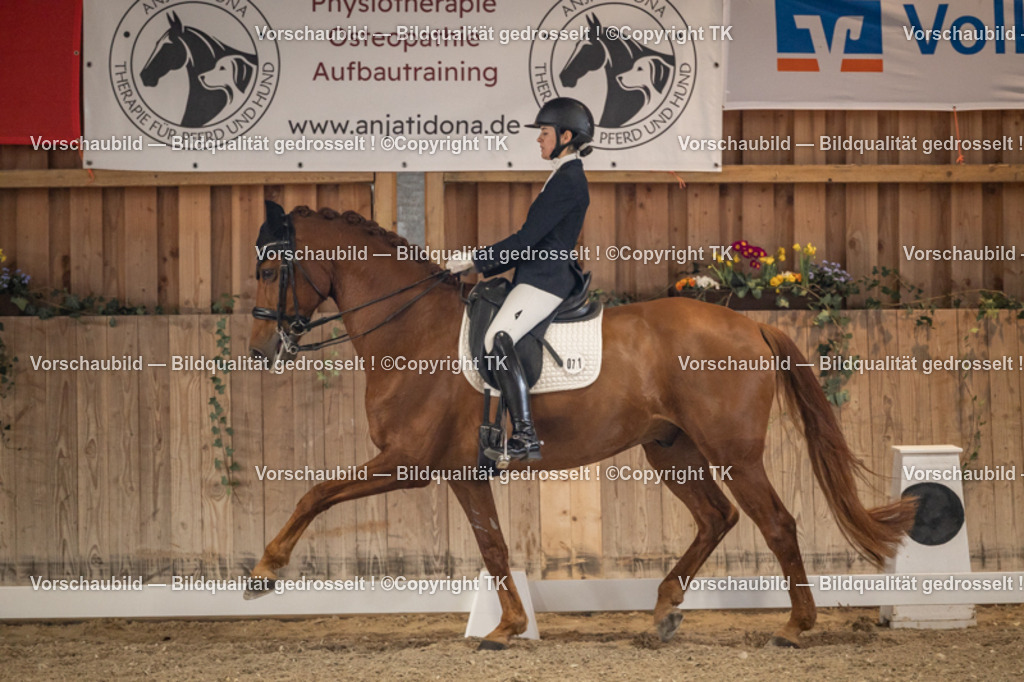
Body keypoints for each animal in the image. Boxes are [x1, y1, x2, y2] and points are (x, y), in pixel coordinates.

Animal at [245, 203, 917, 650]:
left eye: (270, 268)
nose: (259, 351)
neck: (413, 332)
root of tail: (750, 323)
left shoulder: (408, 462)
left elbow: (316, 492)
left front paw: (264, 572)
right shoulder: (460, 470)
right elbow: (493, 545)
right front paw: (509, 627)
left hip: (734, 452)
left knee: (775, 523)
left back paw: (796, 626)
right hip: (670, 450)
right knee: (716, 517)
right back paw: (664, 611)